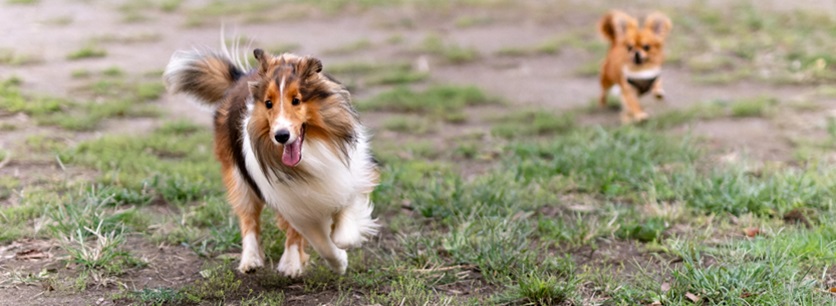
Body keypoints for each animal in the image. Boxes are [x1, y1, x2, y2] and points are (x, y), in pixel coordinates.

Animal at [163, 46, 378, 278]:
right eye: (268, 103)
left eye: (296, 100)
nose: (281, 136)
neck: (312, 151)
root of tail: (240, 78)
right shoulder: (296, 205)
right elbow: (321, 242)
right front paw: (339, 261)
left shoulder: (348, 180)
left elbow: (344, 231)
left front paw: (344, 246)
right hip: (240, 180)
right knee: (249, 220)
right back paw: (257, 260)